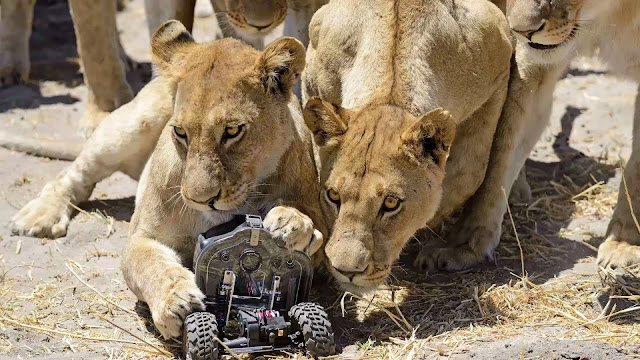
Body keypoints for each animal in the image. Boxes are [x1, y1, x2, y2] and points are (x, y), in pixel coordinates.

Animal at [302, 0, 516, 292]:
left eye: (391, 202)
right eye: (333, 195)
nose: (347, 271)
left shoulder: (499, 70)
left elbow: (467, 174)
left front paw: (442, 243)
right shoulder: (310, 75)